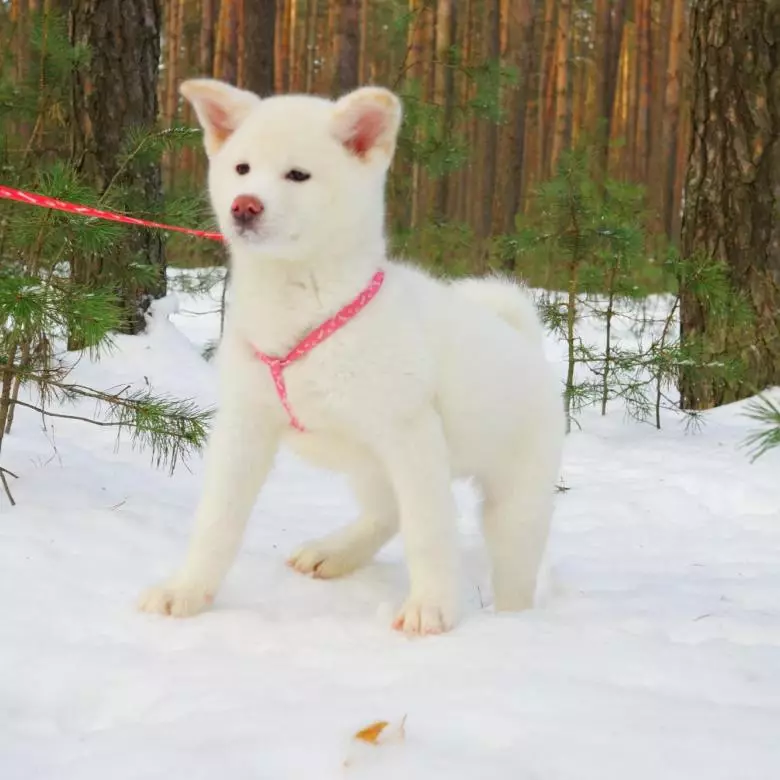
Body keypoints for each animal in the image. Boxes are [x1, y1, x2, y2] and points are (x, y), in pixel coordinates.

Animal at [140, 79, 564, 632]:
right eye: (242, 168)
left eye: (298, 174)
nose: (245, 206)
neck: (302, 304)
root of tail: (521, 340)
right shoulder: (244, 427)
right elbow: (217, 521)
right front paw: (187, 591)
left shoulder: (411, 433)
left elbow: (428, 531)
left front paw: (430, 608)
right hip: (369, 464)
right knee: (385, 512)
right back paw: (334, 553)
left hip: (513, 501)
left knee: (507, 563)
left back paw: (515, 622)